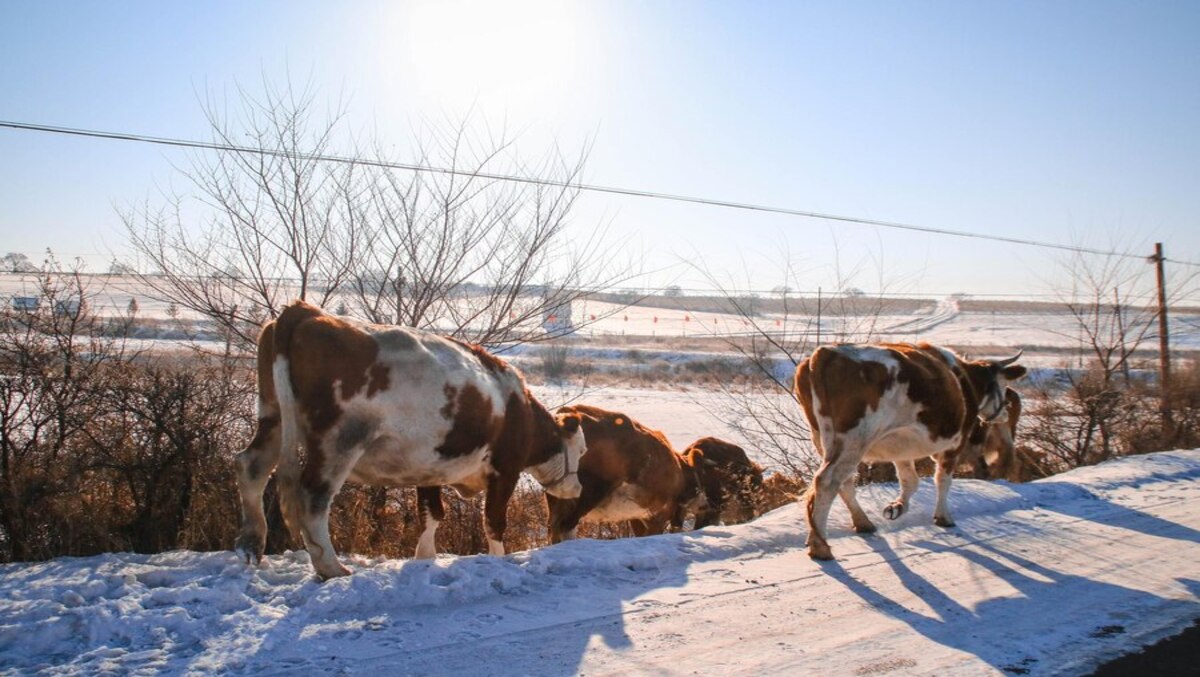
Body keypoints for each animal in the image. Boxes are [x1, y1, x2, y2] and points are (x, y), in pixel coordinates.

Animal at [231, 303, 588, 578]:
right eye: (582, 450)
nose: (577, 489)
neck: (517, 406)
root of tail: (305, 311)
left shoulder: (431, 465)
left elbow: (432, 514)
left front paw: (425, 557)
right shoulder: (506, 468)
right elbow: (494, 522)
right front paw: (498, 559)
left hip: (273, 416)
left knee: (252, 467)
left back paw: (252, 545)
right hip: (338, 441)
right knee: (313, 497)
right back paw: (331, 568)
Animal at [549, 405, 705, 542]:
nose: (704, 504)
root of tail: (571, 412)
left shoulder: (639, 517)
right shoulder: (659, 516)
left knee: (554, 529)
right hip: (589, 492)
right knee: (565, 526)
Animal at [792, 343, 1027, 561]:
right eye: (1004, 384)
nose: (1006, 412)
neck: (966, 381)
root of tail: (825, 354)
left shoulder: (901, 448)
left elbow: (909, 480)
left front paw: (897, 507)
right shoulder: (955, 443)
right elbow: (942, 479)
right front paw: (943, 517)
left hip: (824, 439)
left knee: (844, 482)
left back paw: (862, 523)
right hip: (855, 438)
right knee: (828, 481)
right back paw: (820, 546)